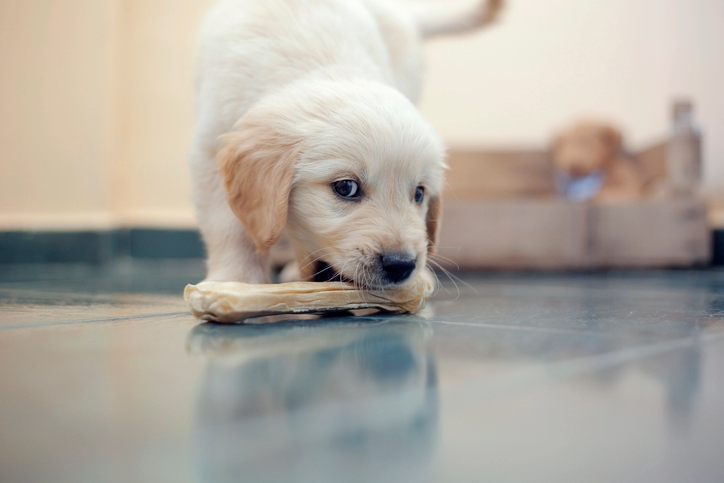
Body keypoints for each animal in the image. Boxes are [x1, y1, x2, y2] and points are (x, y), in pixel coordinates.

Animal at [188, 0, 504, 288]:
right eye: (346, 188)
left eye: (419, 194)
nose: (401, 265)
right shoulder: (210, 149)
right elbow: (228, 226)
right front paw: (235, 279)